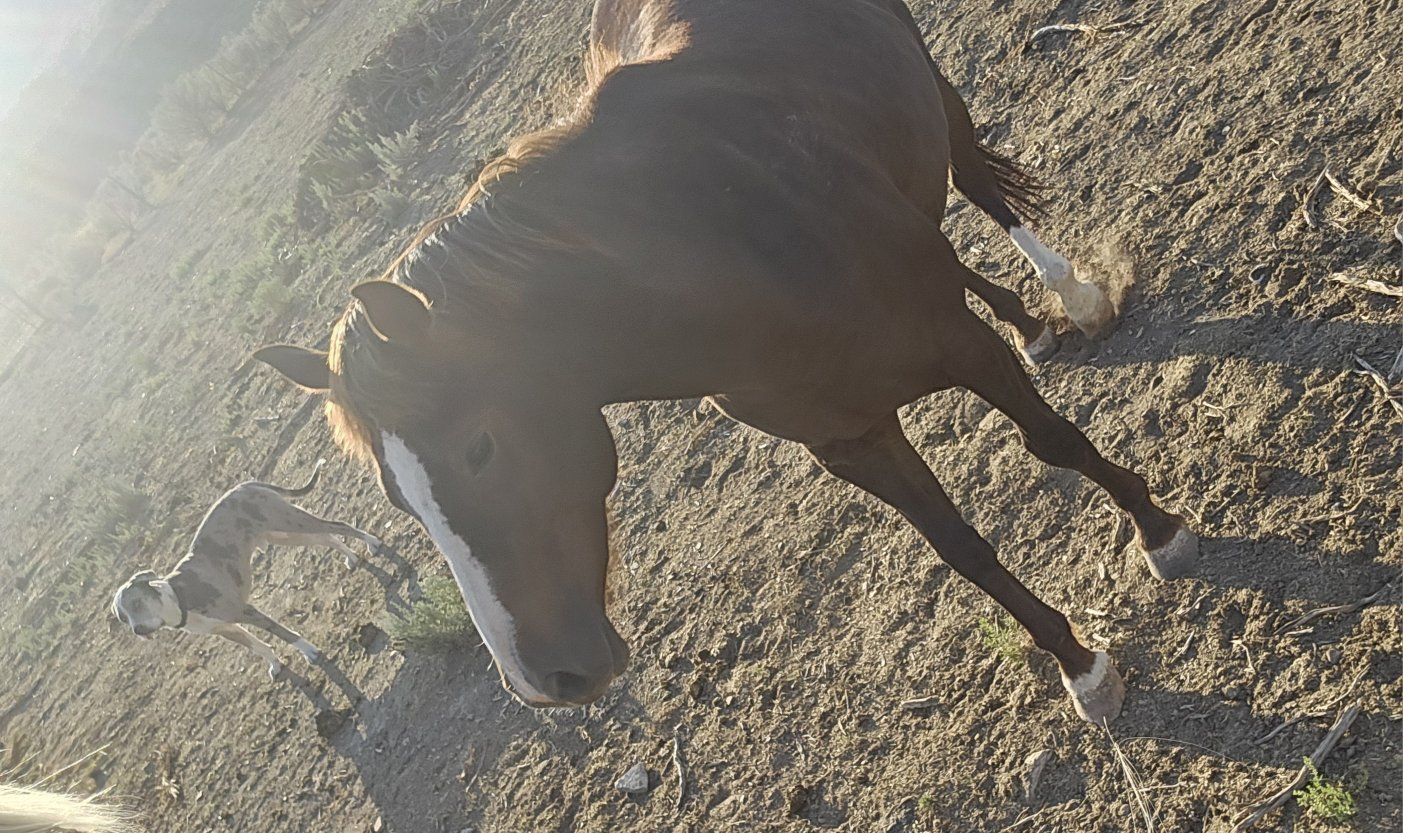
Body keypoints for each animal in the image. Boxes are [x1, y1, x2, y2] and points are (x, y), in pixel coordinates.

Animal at [254, 0, 1198, 723]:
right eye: (396, 500)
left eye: (477, 448)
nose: (544, 683)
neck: (723, 249)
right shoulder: (846, 438)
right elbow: (962, 550)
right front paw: (1078, 664)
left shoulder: (955, 345)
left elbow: (1055, 443)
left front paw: (1159, 533)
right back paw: (1031, 317)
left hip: (930, 86)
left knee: (976, 183)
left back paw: (1071, 296)